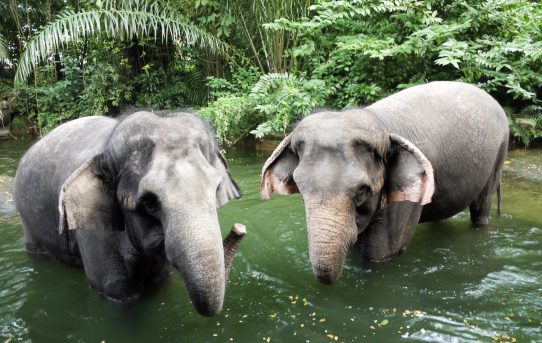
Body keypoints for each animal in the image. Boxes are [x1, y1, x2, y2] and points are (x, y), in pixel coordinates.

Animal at [13, 110, 246, 318]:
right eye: (150, 202)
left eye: (216, 189)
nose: (239, 229)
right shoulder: (93, 231)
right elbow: (118, 292)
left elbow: (162, 280)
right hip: (26, 215)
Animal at [262, 81, 512, 284]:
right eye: (301, 190)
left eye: (362, 192)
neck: (380, 123)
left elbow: (381, 253)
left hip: (500, 151)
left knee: (481, 208)